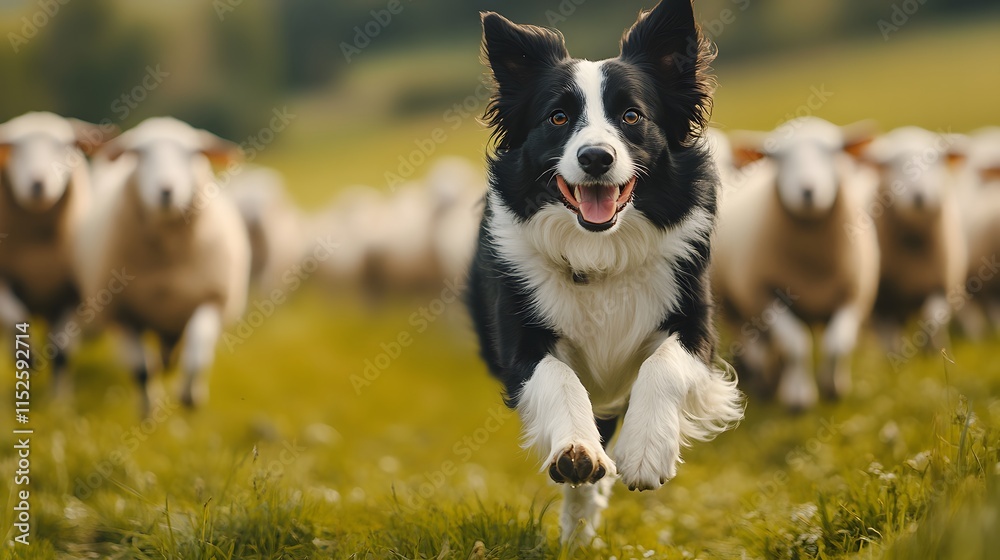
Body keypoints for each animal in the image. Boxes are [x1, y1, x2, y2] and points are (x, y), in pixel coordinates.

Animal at [0, 111, 114, 393]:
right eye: (13, 149)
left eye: (65, 147)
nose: (38, 183)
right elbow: (14, 315)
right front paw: (27, 355)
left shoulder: (72, 294)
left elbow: (62, 350)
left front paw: (59, 400)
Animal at [76, 117, 250, 412]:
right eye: (138, 153)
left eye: (194, 153)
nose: (166, 191)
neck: (167, 258)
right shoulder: (122, 312)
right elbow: (141, 370)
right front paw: (148, 409)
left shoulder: (211, 298)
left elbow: (197, 354)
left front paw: (190, 398)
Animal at [713, 117, 880, 410]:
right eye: (777, 158)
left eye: (834, 152)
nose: (808, 191)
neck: (811, 264)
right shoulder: (764, 294)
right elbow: (795, 344)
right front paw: (798, 397)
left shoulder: (855, 293)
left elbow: (838, 344)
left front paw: (833, 386)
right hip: (734, 303)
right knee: (753, 342)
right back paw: (764, 379)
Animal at [861, 127, 968, 354]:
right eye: (889, 165)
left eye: (938, 162)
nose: (919, 197)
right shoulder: (882, 298)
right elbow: (887, 332)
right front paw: (893, 358)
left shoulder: (939, 284)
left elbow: (932, 320)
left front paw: (934, 352)